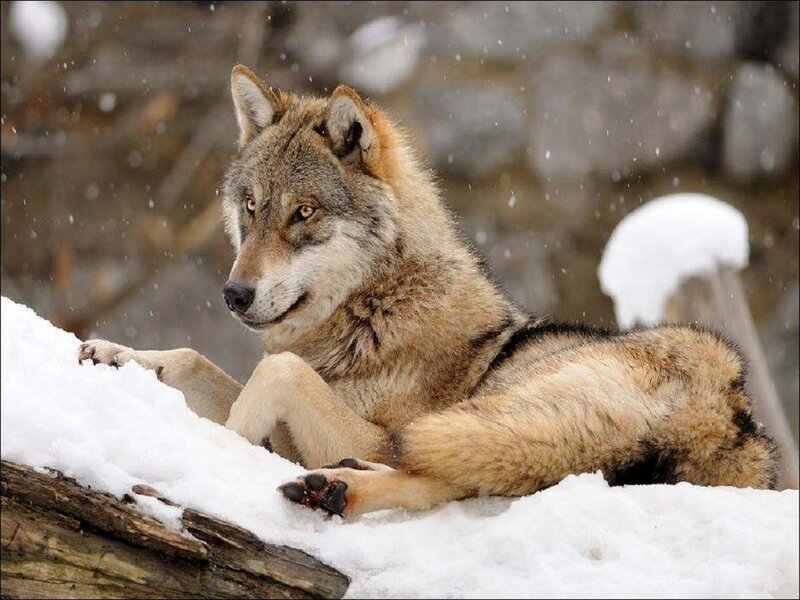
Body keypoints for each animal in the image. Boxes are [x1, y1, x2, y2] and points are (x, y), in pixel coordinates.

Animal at [79, 64, 778, 517]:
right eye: (250, 208)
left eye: (303, 213)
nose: (234, 294)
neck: (375, 310)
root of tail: (723, 403)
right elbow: (194, 360)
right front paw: (117, 356)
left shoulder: (345, 417)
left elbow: (266, 378)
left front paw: (216, 446)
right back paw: (336, 488)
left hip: (497, 408)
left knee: (441, 472)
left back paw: (334, 486)